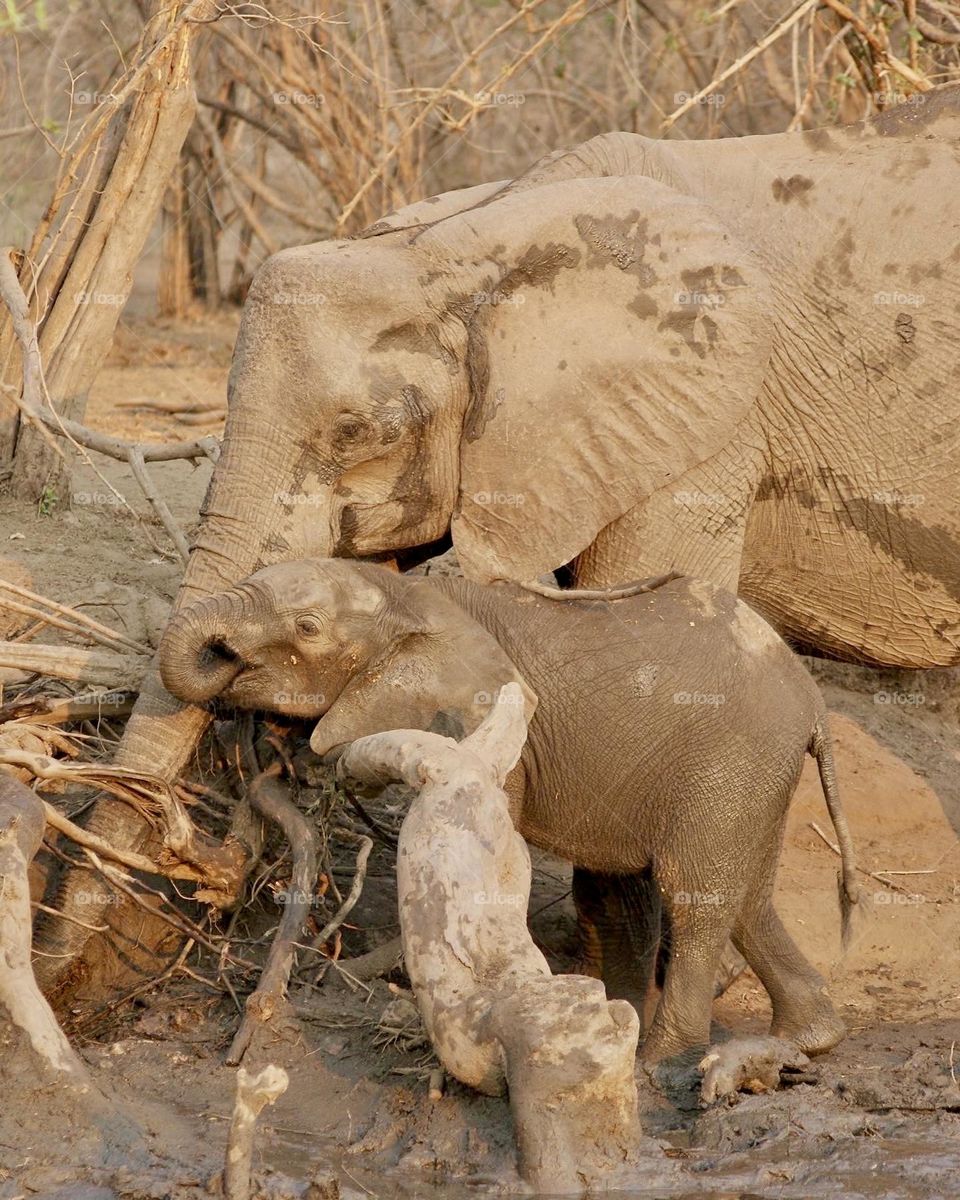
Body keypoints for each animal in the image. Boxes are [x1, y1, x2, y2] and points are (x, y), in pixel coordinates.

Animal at [37, 88, 960, 998]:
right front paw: (602, 970)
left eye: (358, 433)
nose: (66, 979)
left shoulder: (703, 426)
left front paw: (634, 984)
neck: (467, 246)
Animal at [160, 559, 859, 1070]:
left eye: (307, 627)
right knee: (747, 899)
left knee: (697, 899)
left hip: (731, 762)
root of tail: (813, 702)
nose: (222, 670)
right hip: (755, 775)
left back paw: (659, 1061)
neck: (407, 593)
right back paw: (807, 1041)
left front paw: (348, 975)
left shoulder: (487, 717)